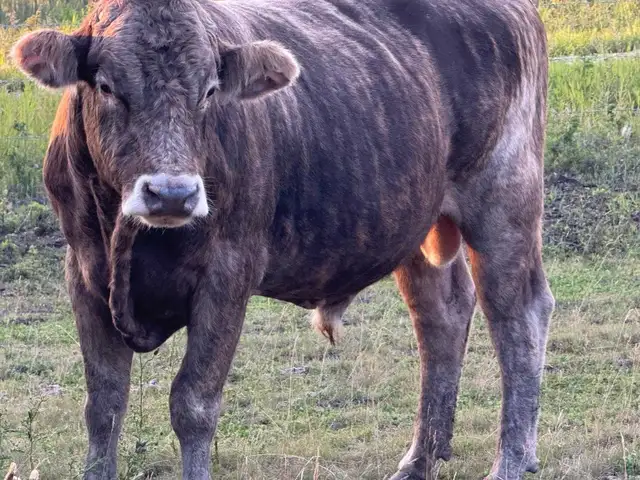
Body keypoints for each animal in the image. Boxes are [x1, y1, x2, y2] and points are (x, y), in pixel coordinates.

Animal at [11, 0, 554, 478]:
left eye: (210, 90)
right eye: (106, 85)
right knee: (441, 316)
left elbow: (193, 404)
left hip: (505, 201)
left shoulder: (229, 273)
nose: (172, 194)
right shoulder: (84, 272)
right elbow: (103, 404)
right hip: (414, 221)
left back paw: (511, 461)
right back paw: (419, 460)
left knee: (519, 315)